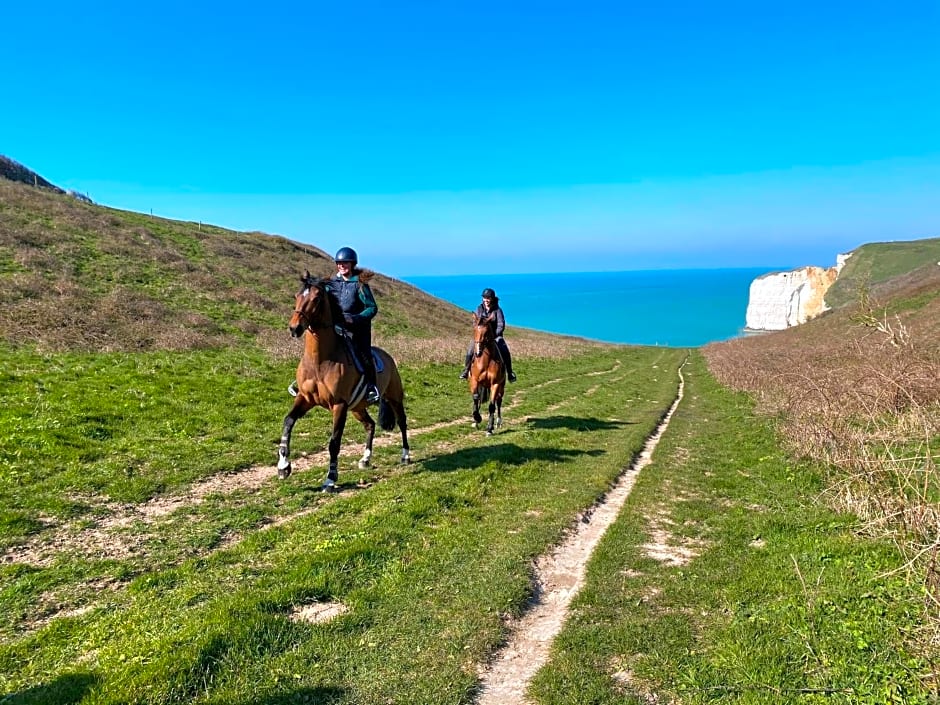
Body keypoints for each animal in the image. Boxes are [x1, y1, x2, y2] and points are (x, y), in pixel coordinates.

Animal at [278, 272, 414, 492]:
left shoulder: (339, 405)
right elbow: (288, 422)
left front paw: (330, 479)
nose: (294, 328)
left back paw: (406, 455)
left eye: (316, 298)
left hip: (394, 398)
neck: (320, 360)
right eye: (296, 296)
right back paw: (365, 459)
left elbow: (334, 442)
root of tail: (388, 357)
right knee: (370, 425)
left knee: (402, 422)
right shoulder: (305, 398)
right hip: (358, 407)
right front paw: (283, 467)